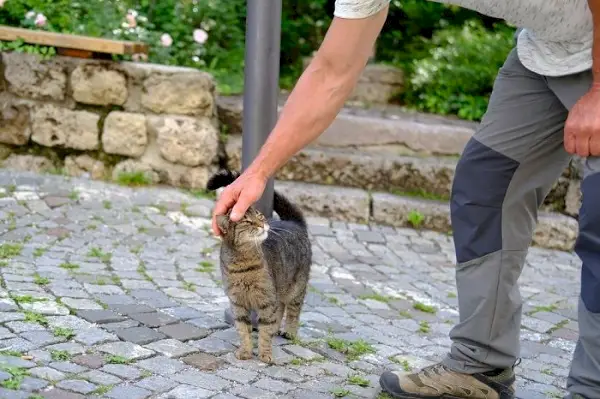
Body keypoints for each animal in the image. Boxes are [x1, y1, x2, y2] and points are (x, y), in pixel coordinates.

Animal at [206, 170, 312, 364]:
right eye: (247, 222)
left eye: (260, 216)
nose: (262, 224)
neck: (244, 265)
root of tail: (294, 222)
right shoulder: (238, 303)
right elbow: (244, 330)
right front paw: (245, 352)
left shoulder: (267, 301)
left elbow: (264, 331)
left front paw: (265, 354)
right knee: (281, 308)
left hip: (296, 288)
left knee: (293, 311)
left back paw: (290, 332)